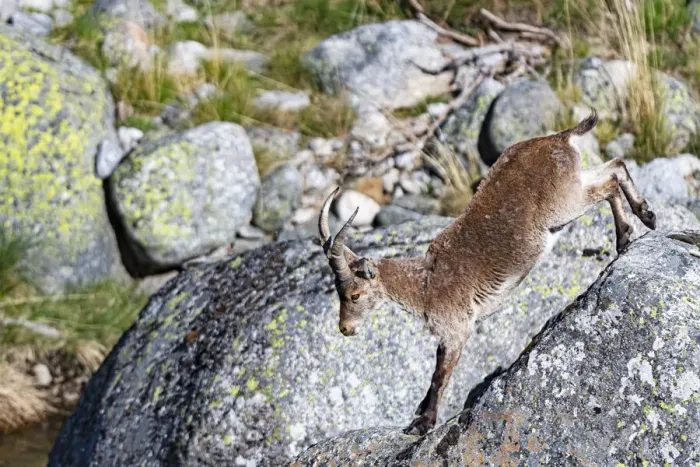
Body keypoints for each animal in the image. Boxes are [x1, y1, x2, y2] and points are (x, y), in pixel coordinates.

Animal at [317, 110, 656, 435]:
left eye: (354, 294)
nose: (345, 329)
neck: (424, 284)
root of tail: (561, 137)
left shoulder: (455, 331)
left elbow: (440, 376)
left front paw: (423, 424)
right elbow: (434, 374)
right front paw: (420, 412)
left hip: (565, 204)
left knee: (609, 182)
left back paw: (635, 225)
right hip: (573, 187)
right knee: (615, 166)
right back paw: (637, 225)